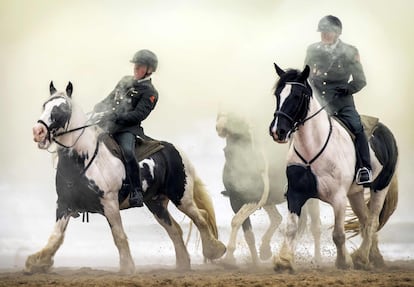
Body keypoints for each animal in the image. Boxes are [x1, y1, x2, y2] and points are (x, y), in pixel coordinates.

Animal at [28, 82, 226, 276]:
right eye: (45, 105)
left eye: (62, 109)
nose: (38, 132)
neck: (85, 159)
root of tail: (175, 150)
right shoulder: (64, 204)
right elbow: (55, 236)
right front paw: (37, 262)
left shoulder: (110, 204)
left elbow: (119, 236)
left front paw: (127, 267)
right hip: (156, 204)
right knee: (175, 230)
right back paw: (183, 265)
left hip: (181, 196)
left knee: (201, 217)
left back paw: (214, 250)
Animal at [217, 113, 324, 268]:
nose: (220, 127)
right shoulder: (236, 200)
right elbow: (248, 233)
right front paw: (255, 262)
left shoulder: (253, 199)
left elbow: (236, 221)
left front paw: (229, 258)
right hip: (271, 201)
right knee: (279, 219)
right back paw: (268, 251)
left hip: (310, 201)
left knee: (315, 227)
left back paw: (317, 260)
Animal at [268, 63, 398, 272]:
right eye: (278, 94)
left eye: (297, 95)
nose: (277, 131)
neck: (312, 149)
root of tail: (385, 132)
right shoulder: (296, 194)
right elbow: (291, 228)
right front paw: (284, 261)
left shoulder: (338, 198)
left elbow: (338, 234)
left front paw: (344, 262)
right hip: (355, 194)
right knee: (364, 220)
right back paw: (374, 257)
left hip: (380, 187)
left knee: (372, 221)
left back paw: (361, 258)